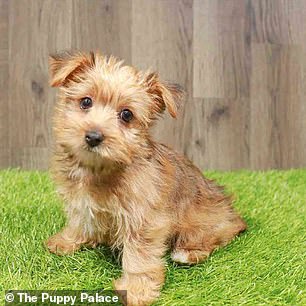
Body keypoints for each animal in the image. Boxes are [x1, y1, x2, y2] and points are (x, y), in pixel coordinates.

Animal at [45, 50, 246, 306]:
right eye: (86, 102)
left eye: (126, 114)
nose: (93, 136)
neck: (100, 169)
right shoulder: (81, 201)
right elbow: (80, 220)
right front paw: (67, 240)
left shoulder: (144, 221)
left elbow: (138, 256)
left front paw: (135, 289)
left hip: (206, 221)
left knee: (216, 235)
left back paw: (188, 252)